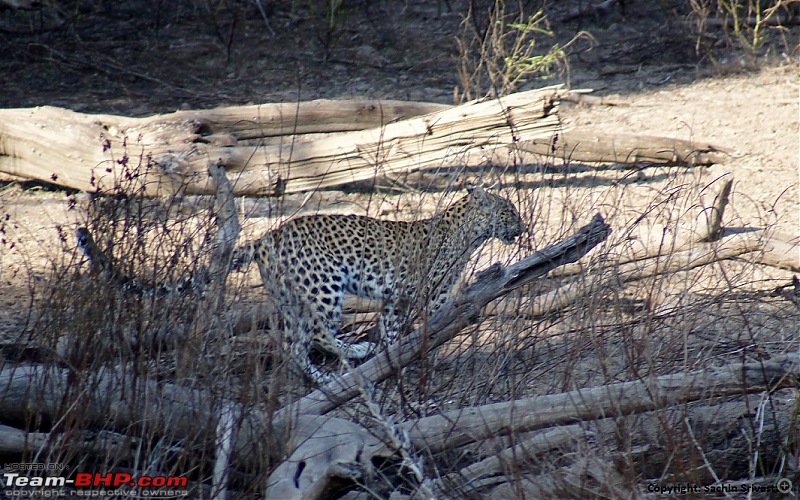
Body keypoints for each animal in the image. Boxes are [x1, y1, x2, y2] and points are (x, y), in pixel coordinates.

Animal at [230, 186, 524, 384]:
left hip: (290, 299)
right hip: (325, 287)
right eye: (509, 211)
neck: (469, 234)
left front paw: (392, 361)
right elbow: (434, 326)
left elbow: (391, 331)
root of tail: (266, 237)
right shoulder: (434, 293)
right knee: (318, 335)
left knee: (294, 348)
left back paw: (324, 380)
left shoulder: (396, 299)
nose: (522, 228)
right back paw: (356, 353)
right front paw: (427, 359)